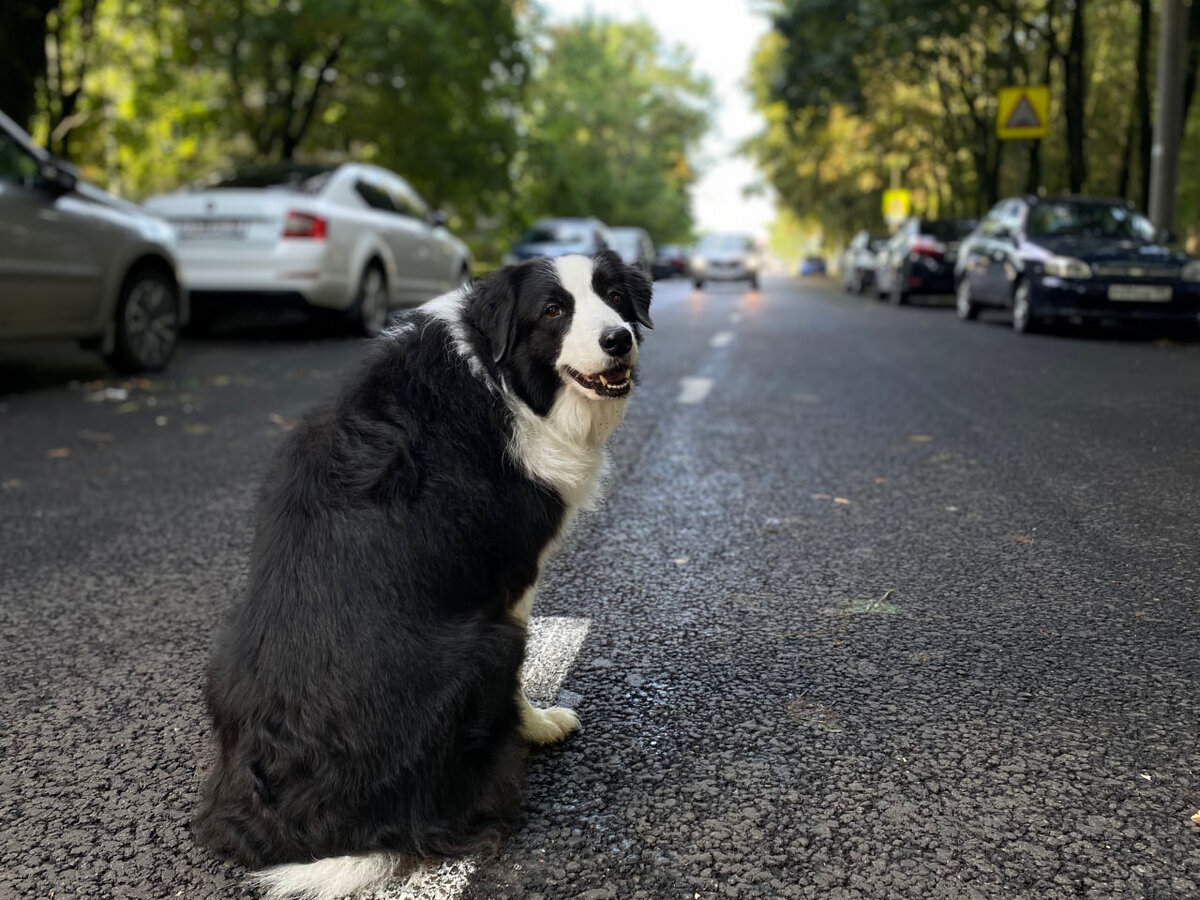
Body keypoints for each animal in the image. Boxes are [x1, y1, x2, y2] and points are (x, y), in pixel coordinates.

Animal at [193, 252, 652, 900]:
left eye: (613, 296)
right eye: (553, 311)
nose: (619, 339)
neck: (498, 375)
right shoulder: (508, 579)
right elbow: (520, 689)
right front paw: (539, 725)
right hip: (489, 644)